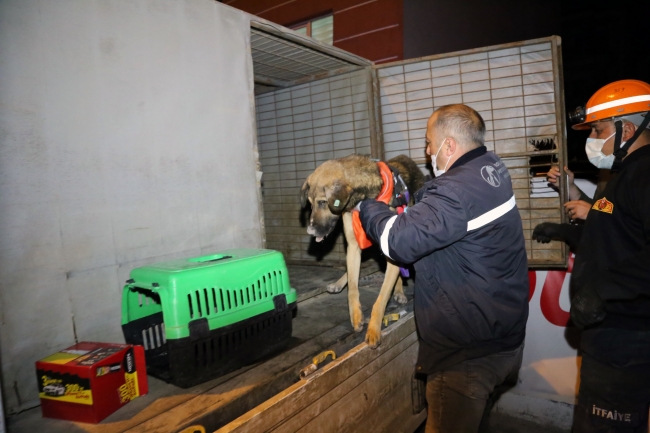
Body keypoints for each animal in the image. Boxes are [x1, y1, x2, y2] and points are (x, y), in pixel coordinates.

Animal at [300, 154, 426, 346]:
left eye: (323, 202)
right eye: (310, 204)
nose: (311, 231)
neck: (362, 199)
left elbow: (381, 299)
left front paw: (374, 329)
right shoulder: (353, 246)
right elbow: (353, 287)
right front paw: (356, 317)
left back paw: (399, 292)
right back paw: (338, 284)